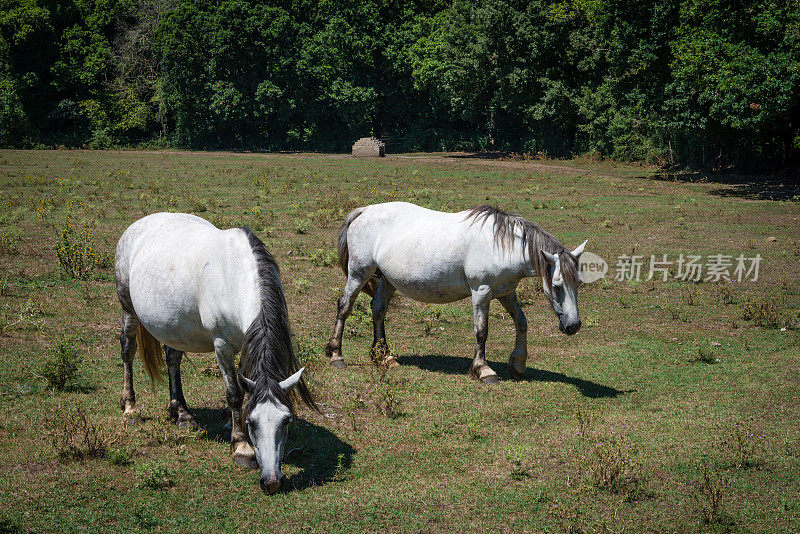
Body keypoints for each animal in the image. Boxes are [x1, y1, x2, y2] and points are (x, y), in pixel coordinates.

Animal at [115, 213, 316, 494]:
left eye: (287, 420)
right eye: (253, 423)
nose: (272, 482)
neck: (235, 275)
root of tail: (138, 224)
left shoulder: (245, 342)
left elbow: (243, 387)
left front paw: (230, 425)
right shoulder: (222, 345)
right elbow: (234, 392)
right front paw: (241, 447)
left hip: (174, 324)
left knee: (172, 358)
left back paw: (182, 413)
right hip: (128, 308)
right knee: (128, 349)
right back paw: (130, 407)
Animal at [326, 202, 588, 386]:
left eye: (577, 284)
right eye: (557, 286)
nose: (573, 326)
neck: (499, 245)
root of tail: (364, 211)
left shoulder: (506, 292)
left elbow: (522, 322)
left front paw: (518, 364)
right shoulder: (481, 292)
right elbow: (482, 331)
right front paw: (483, 370)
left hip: (388, 280)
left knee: (378, 308)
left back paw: (384, 356)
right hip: (359, 273)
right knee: (345, 306)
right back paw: (336, 355)